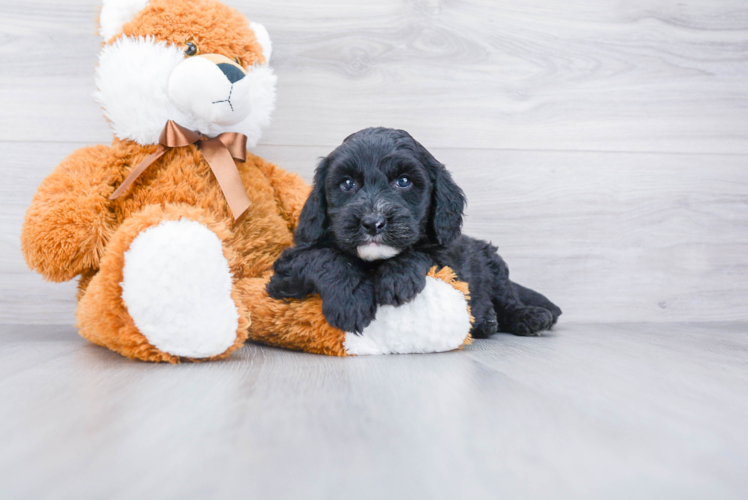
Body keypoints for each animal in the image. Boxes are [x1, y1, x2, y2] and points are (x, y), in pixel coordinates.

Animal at [266, 127, 560, 336]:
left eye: (404, 181)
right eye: (347, 184)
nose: (373, 222)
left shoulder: (450, 259)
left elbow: (422, 253)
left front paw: (396, 278)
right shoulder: (287, 267)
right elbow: (326, 257)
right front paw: (350, 301)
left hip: (492, 262)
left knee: (507, 298)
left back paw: (525, 316)